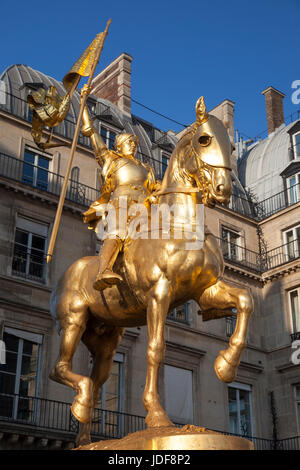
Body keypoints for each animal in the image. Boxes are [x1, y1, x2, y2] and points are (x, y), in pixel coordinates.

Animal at [49, 101, 253, 446]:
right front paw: (157, 416)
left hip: (105, 340)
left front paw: (225, 366)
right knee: (58, 369)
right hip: (73, 320)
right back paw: (81, 403)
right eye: (204, 140)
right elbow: (156, 350)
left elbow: (245, 300)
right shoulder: (160, 292)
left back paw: (87, 435)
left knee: (97, 379)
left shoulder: (205, 290)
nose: (223, 191)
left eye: (232, 145)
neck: (181, 225)